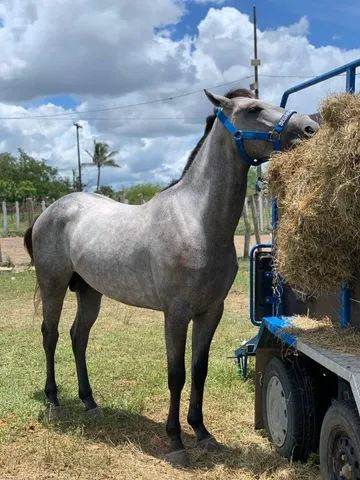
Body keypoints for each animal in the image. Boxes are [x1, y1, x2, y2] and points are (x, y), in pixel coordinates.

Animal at [24, 90, 318, 464]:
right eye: (254, 109)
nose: (310, 127)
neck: (197, 221)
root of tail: (50, 211)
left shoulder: (211, 312)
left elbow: (198, 369)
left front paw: (203, 433)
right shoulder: (175, 314)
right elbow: (176, 374)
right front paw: (176, 441)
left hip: (90, 291)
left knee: (79, 337)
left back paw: (90, 402)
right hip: (54, 285)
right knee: (51, 336)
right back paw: (53, 401)